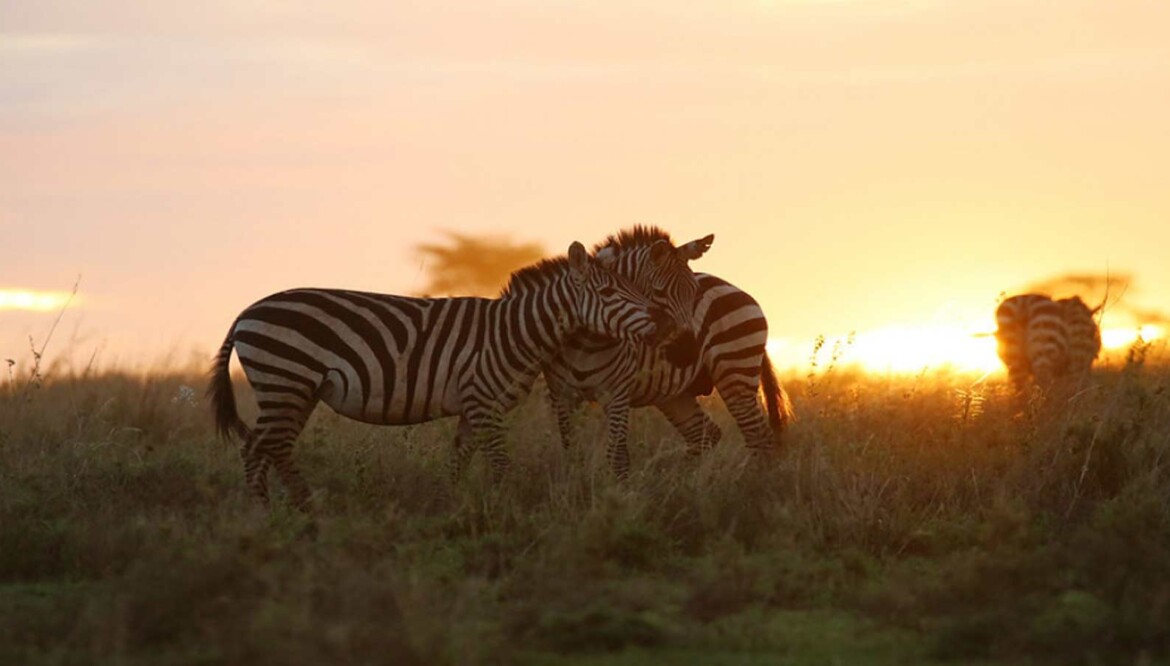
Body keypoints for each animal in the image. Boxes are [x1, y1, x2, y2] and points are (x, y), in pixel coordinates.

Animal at [205, 241, 673, 505]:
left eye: (633, 289)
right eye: (608, 292)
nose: (662, 322)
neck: (514, 332)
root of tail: (245, 312)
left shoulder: (472, 405)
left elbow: (459, 460)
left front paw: (453, 505)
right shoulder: (485, 402)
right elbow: (500, 463)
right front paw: (503, 510)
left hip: (293, 389)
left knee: (261, 448)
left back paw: (270, 514)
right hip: (286, 380)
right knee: (268, 447)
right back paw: (299, 511)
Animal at [545, 227, 795, 477]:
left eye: (695, 293)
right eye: (659, 292)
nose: (688, 351)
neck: (587, 342)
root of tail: (738, 290)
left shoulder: (617, 393)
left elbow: (616, 455)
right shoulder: (562, 396)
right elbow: (570, 450)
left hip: (735, 374)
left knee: (758, 437)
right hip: (674, 394)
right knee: (705, 434)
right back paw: (685, 479)